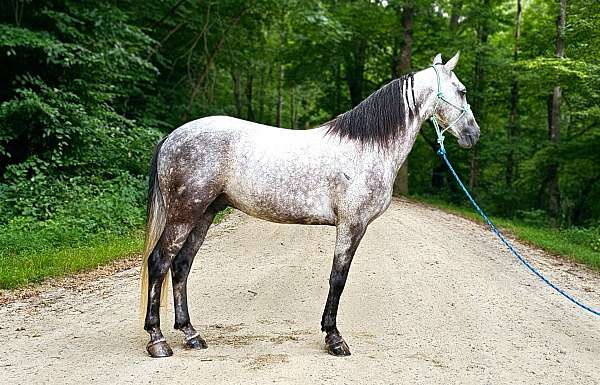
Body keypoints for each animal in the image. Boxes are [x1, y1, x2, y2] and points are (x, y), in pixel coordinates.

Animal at [139, 51, 478, 356]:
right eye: (462, 90)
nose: (473, 134)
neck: (369, 147)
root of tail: (171, 137)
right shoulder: (352, 225)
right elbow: (338, 278)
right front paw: (334, 338)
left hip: (205, 213)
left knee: (181, 266)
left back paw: (190, 333)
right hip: (184, 215)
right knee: (159, 262)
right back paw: (158, 340)